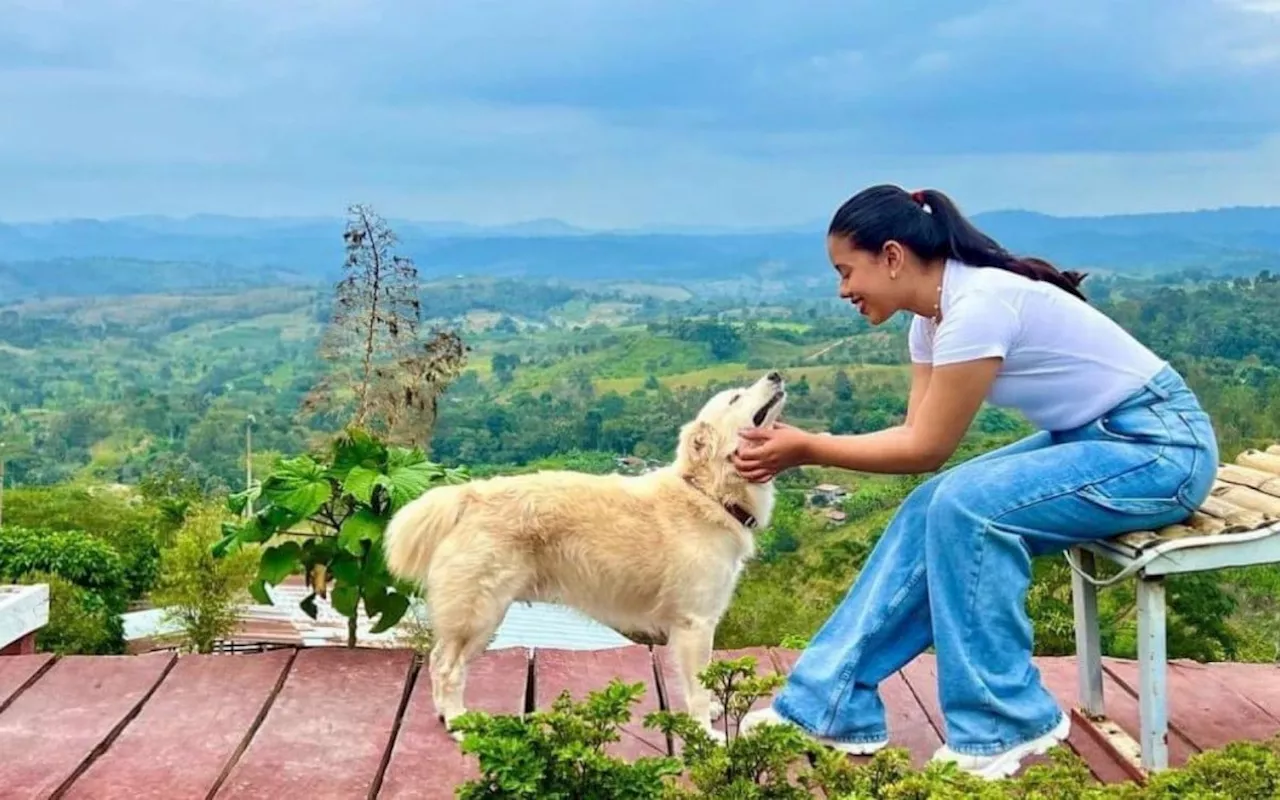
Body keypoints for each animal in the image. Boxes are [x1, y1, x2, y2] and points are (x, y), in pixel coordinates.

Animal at [378, 371, 783, 737]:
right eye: (735, 398)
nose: (776, 375)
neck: (707, 492)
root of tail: (468, 495)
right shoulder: (695, 622)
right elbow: (697, 686)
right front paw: (704, 731)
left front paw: (712, 709)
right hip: (480, 615)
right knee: (448, 668)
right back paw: (458, 720)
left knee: (435, 661)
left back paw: (444, 712)